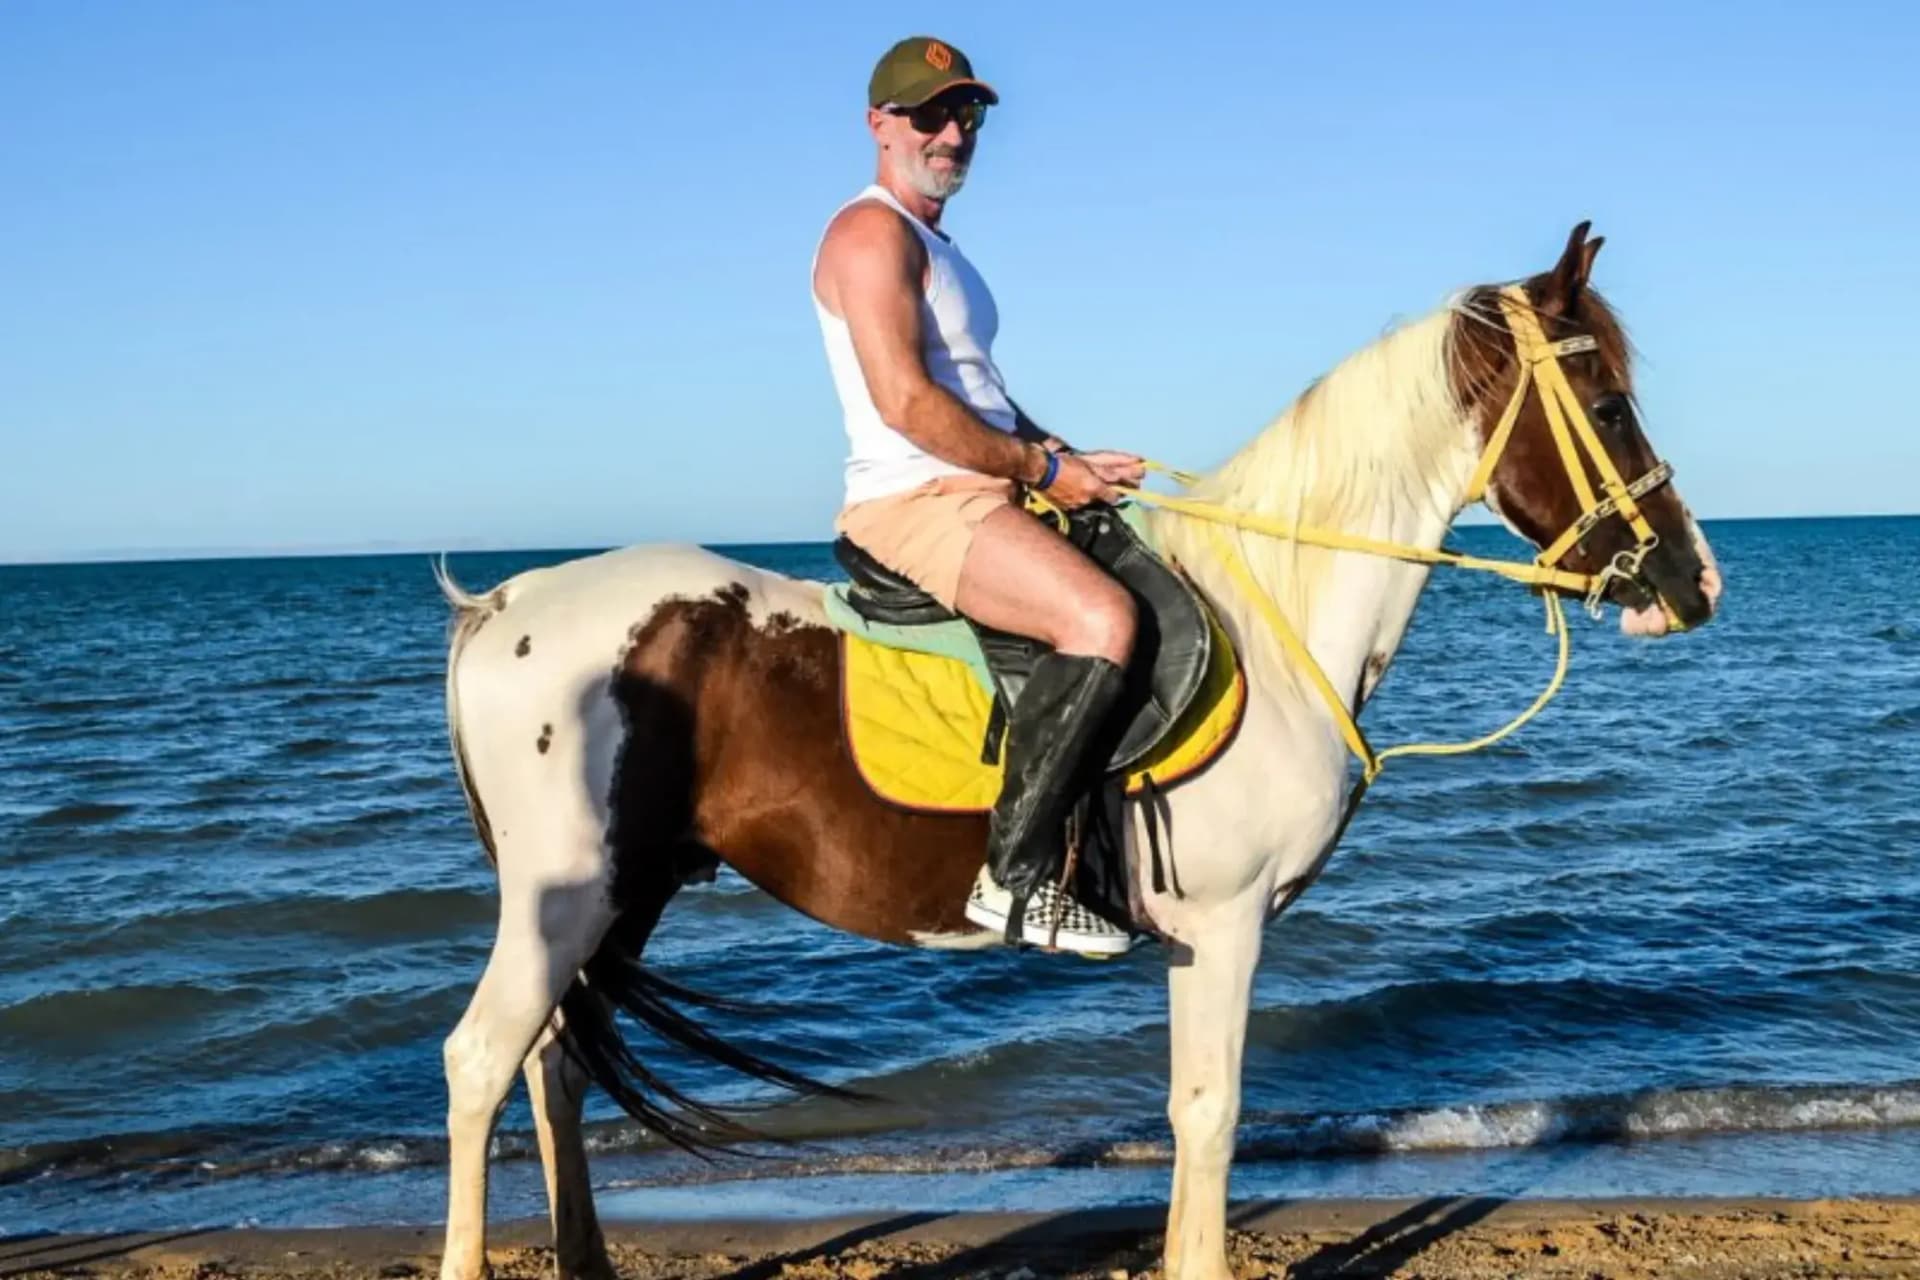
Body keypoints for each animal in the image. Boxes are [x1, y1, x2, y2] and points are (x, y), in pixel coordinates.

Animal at [430, 223, 1721, 1280]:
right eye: (1609, 404)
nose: (1691, 580)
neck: (1274, 617)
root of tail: (501, 604)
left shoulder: (1204, 935)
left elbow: (1195, 1114)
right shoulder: (1226, 924)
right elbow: (1211, 1113)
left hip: (623, 890)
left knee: (553, 1063)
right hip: (571, 894)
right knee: (482, 1061)